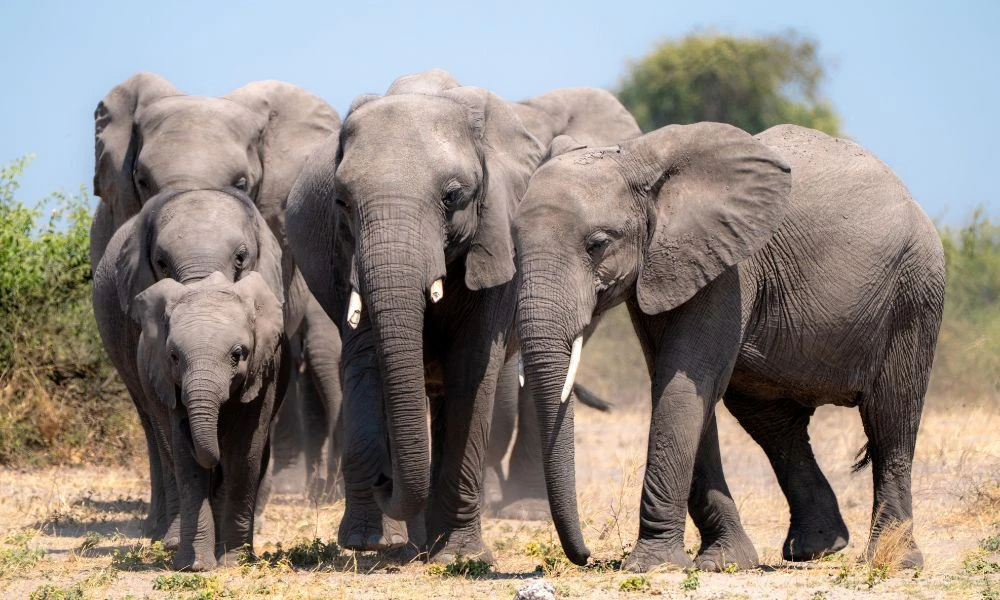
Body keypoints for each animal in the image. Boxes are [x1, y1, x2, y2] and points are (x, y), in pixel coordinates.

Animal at [131, 271, 286, 571]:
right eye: (174, 357)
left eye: (237, 354)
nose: (186, 427)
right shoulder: (170, 383)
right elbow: (187, 464)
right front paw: (195, 566)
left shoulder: (263, 373)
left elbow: (244, 455)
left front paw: (234, 563)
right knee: (169, 454)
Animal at [285, 69, 640, 561]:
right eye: (340, 201)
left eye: (453, 196)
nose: (384, 481)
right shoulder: (345, 256)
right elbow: (367, 360)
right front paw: (369, 544)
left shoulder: (498, 234)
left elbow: (472, 370)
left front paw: (460, 555)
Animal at [513, 123, 945, 572]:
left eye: (597, 243)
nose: (585, 557)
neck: (637, 157)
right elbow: (679, 385)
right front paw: (724, 561)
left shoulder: (730, 269)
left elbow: (683, 384)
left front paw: (654, 566)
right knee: (773, 424)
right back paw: (817, 548)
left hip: (915, 289)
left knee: (891, 417)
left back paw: (894, 560)